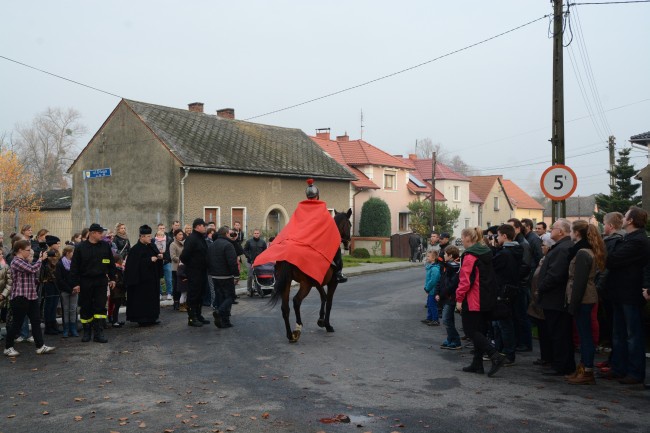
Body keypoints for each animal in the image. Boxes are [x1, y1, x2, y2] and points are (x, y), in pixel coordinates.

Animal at [268, 208, 350, 342]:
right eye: (349, 224)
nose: (348, 243)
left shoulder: (317, 282)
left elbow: (323, 297)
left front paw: (321, 320)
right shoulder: (332, 282)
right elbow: (329, 301)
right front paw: (327, 324)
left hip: (287, 282)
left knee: (285, 308)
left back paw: (290, 335)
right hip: (305, 285)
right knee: (296, 301)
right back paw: (298, 328)